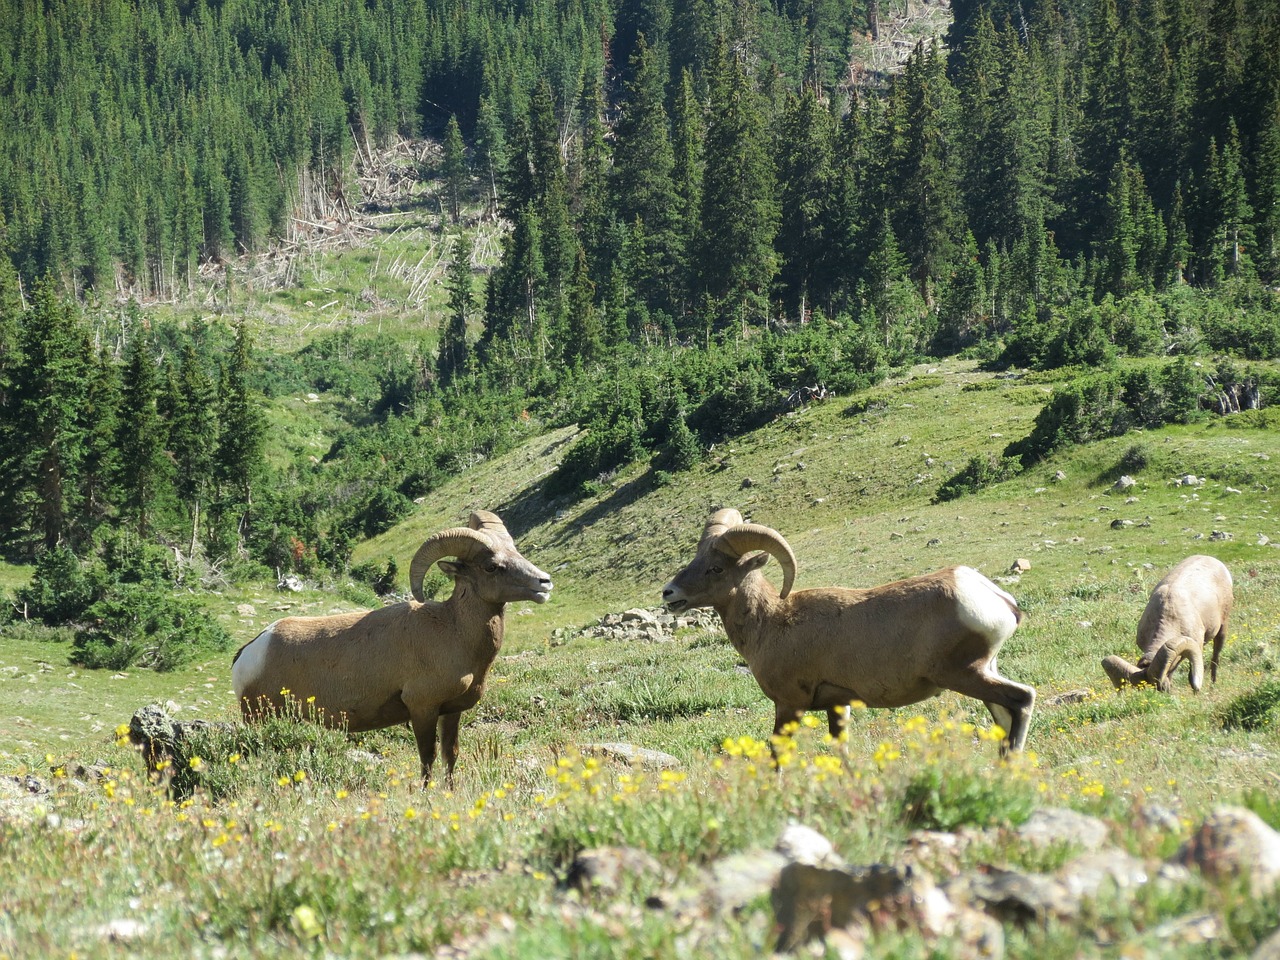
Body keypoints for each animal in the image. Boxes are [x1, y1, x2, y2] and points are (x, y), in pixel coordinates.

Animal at [232, 514, 552, 783]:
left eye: (515, 552)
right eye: (491, 566)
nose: (544, 583)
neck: (452, 630)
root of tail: (249, 652)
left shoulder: (451, 712)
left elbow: (450, 756)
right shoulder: (422, 708)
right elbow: (427, 758)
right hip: (260, 718)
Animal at [665, 514, 1034, 757]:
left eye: (716, 568)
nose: (669, 593)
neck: (772, 622)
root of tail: (998, 600)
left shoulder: (789, 704)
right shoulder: (838, 705)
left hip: (963, 674)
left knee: (1021, 699)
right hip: (983, 673)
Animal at [1100, 555, 1228, 691]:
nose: (1164, 689)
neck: (1169, 615)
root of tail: (1211, 559)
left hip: (1222, 627)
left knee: (1215, 657)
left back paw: (1213, 684)